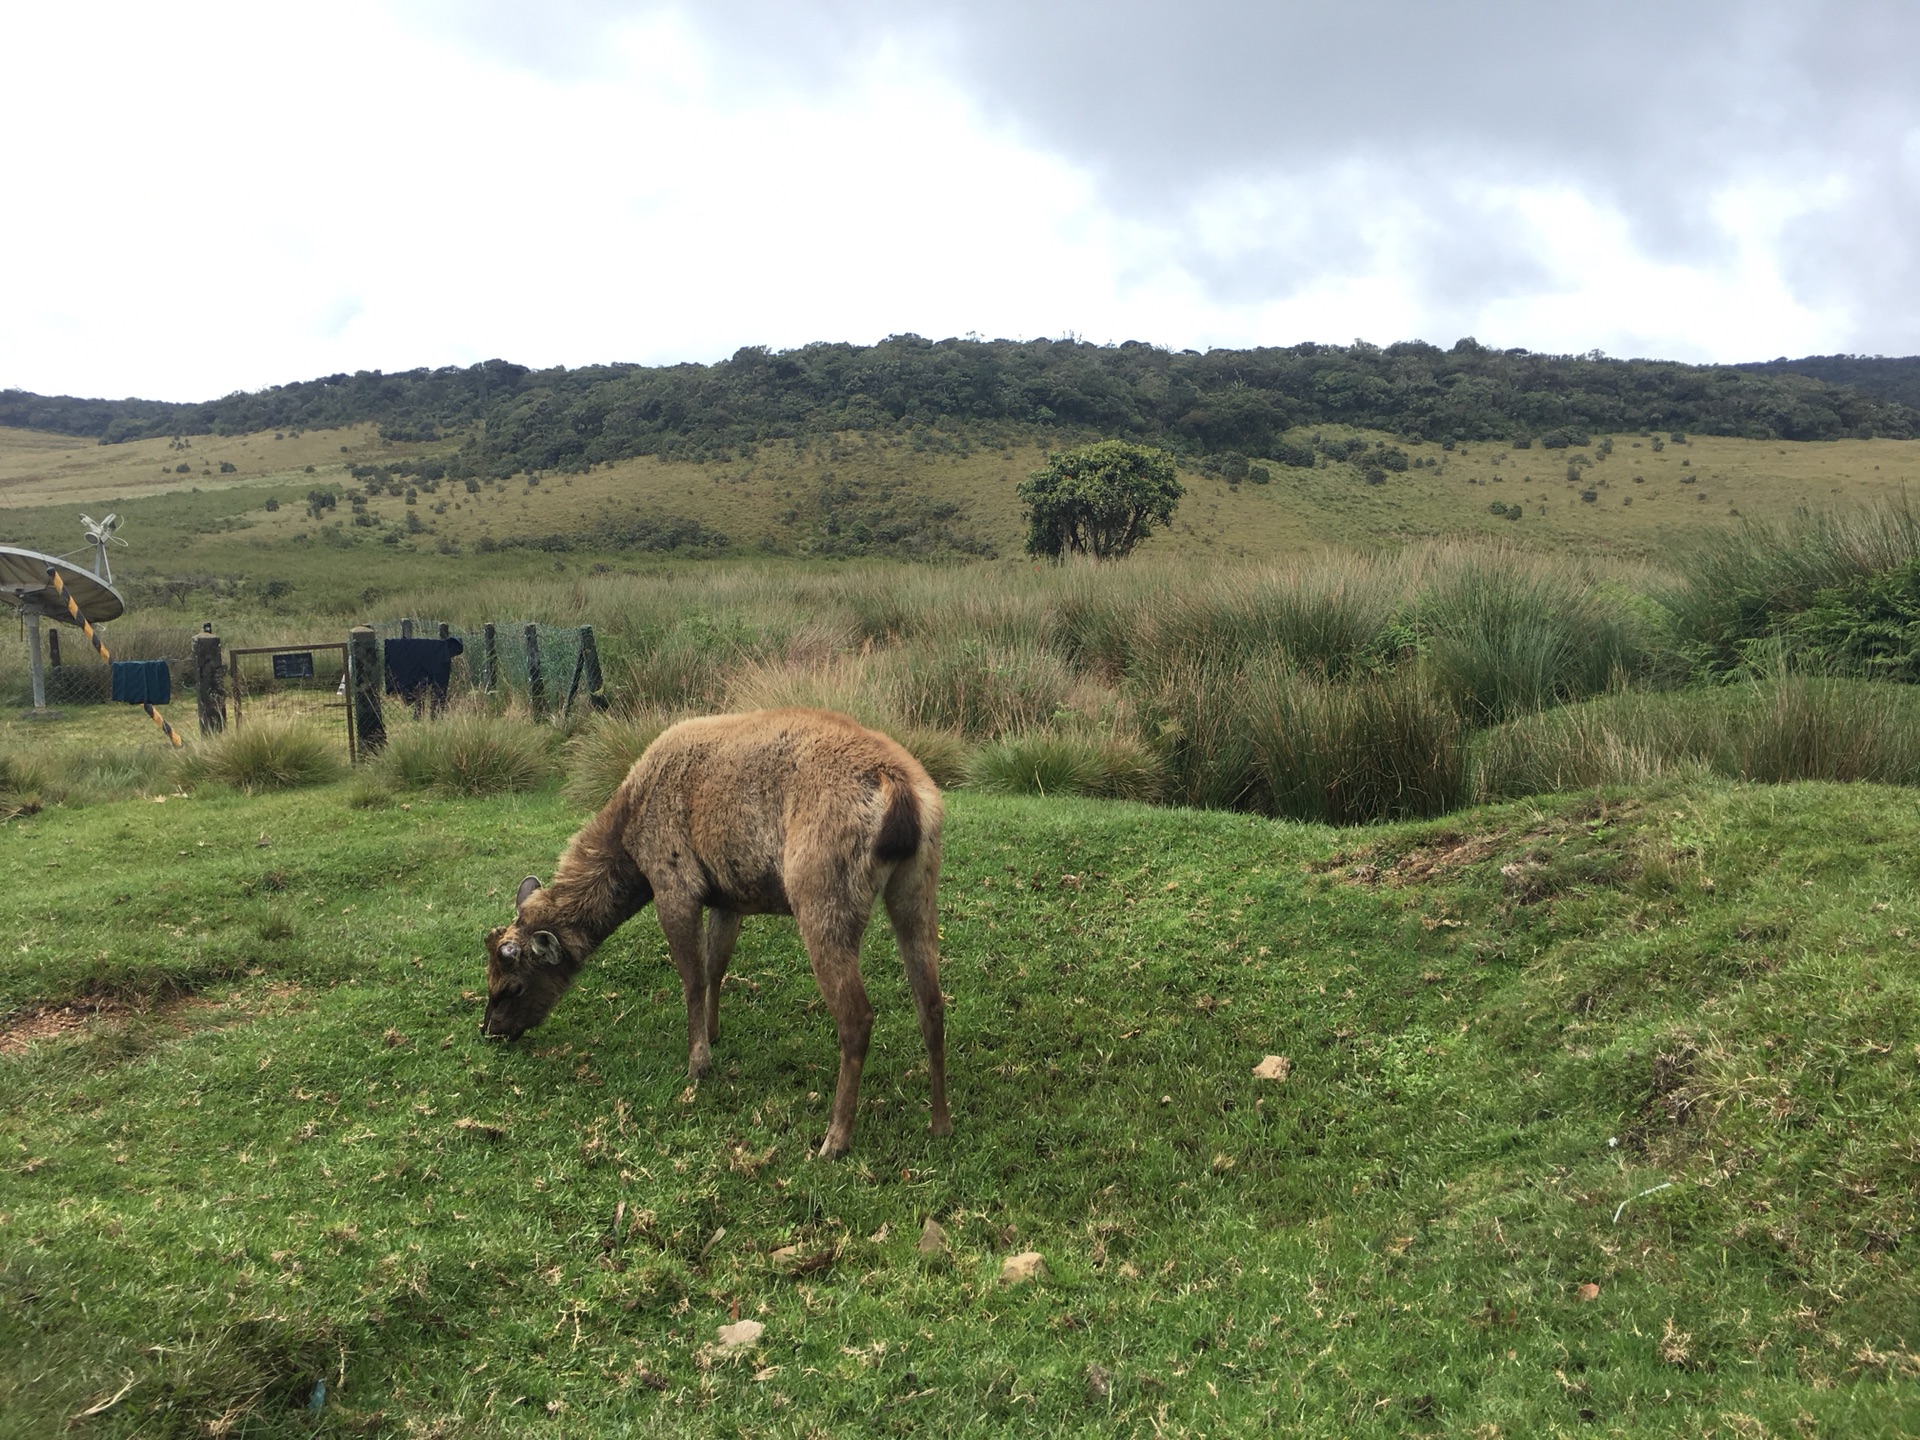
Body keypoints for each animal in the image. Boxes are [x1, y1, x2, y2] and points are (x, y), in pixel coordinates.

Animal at [483, 710, 948, 1159]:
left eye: (512, 987)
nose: (489, 1032)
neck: (629, 841)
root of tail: (903, 792)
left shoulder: (674, 881)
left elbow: (692, 976)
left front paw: (698, 1063)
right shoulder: (728, 896)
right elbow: (716, 966)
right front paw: (714, 1032)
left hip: (821, 890)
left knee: (857, 1017)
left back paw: (834, 1139)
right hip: (917, 886)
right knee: (932, 1003)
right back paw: (940, 1122)